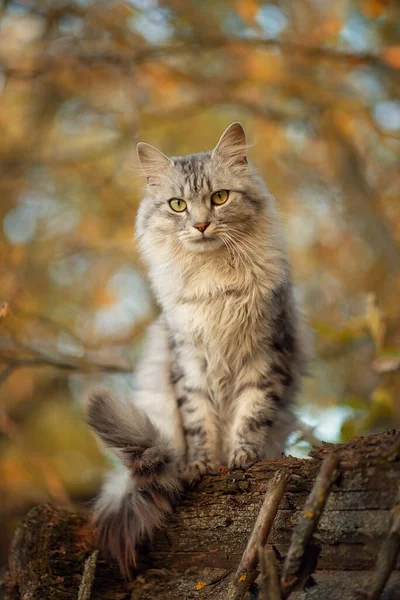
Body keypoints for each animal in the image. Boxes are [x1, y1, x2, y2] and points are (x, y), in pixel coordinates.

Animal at [86, 122, 308, 576]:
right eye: (177, 205)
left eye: (219, 198)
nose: (202, 225)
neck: (215, 283)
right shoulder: (188, 361)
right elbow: (198, 422)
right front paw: (202, 465)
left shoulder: (266, 355)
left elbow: (251, 414)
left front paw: (242, 457)